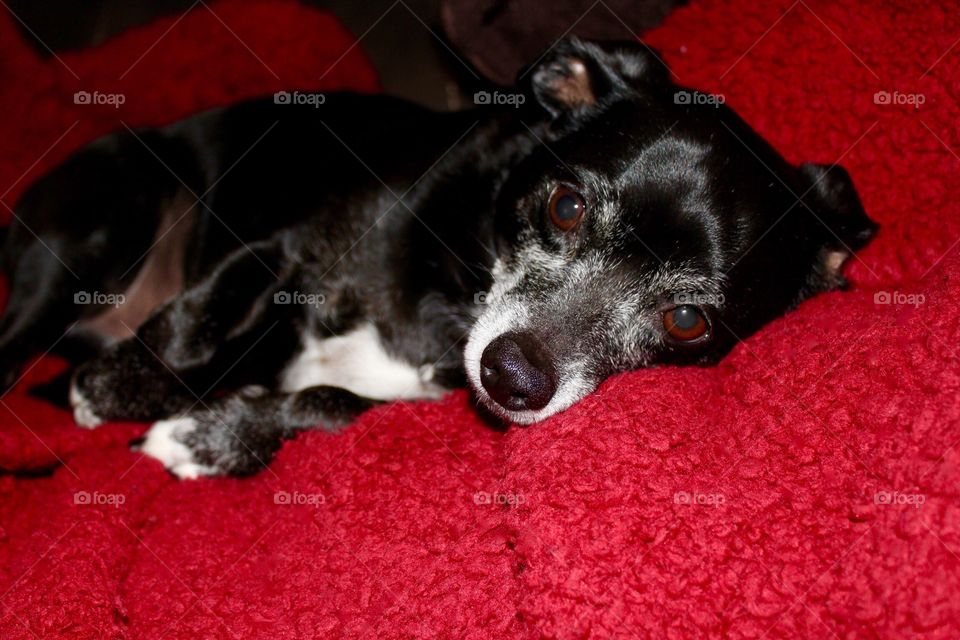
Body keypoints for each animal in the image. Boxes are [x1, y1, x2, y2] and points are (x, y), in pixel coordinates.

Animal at [0, 36, 876, 476]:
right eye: (564, 206)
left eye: (688, 319)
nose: (511, 377)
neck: (455, 300)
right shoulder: (284, 246)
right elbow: (196, 320)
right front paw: (119, 390)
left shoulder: (409, 409)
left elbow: (328, 402)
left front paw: (206, 437)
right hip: (100, 224)